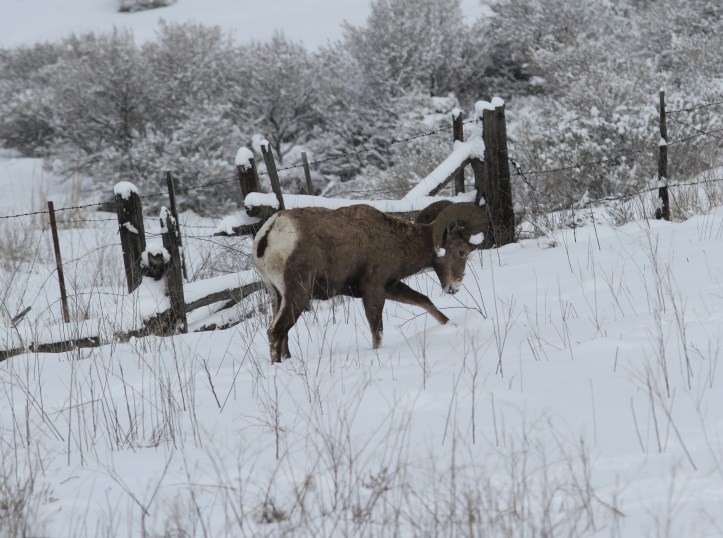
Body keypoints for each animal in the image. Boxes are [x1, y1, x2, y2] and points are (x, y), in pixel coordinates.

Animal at [252, 202, 489, 363]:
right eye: (461, 252)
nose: (454, 288)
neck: (397, 241)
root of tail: (270, 233)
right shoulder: (373, 291)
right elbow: (377, 332)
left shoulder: (390, 287)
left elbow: (425, 302)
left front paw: (452, 326)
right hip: (298, 296)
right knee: (275, 332)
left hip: (277, 296)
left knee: (283, 334)